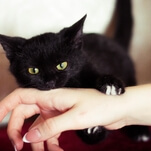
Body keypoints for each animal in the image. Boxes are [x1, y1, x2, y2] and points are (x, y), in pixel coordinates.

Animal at [0, 15, 149, 144]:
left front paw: (110, 84)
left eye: (62, 65)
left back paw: (140, 131)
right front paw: (91, 130)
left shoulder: (89, 66)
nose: (49, 82)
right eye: (33, 70)